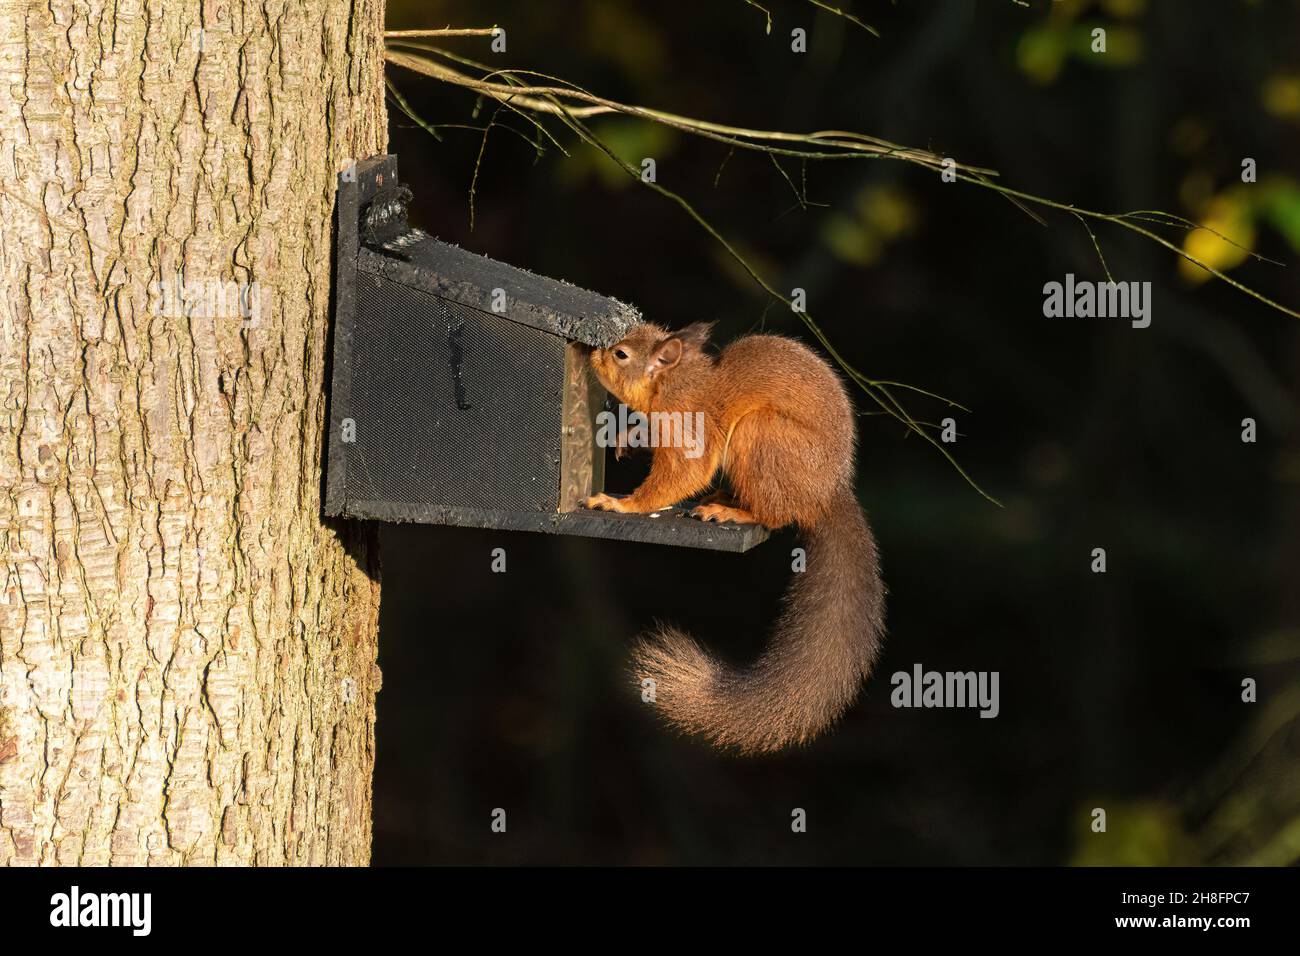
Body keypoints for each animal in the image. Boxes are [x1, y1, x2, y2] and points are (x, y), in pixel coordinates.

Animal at [587, 321, 883, 754]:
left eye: (621, 355)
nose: (593, 353)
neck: (674, 384)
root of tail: (825, 495)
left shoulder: (689, 427)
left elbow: (683, 474)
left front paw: (622, 505)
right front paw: (627, 437)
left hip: (761, 435)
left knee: (773, 515)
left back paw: (731, 510)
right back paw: (725, 498)